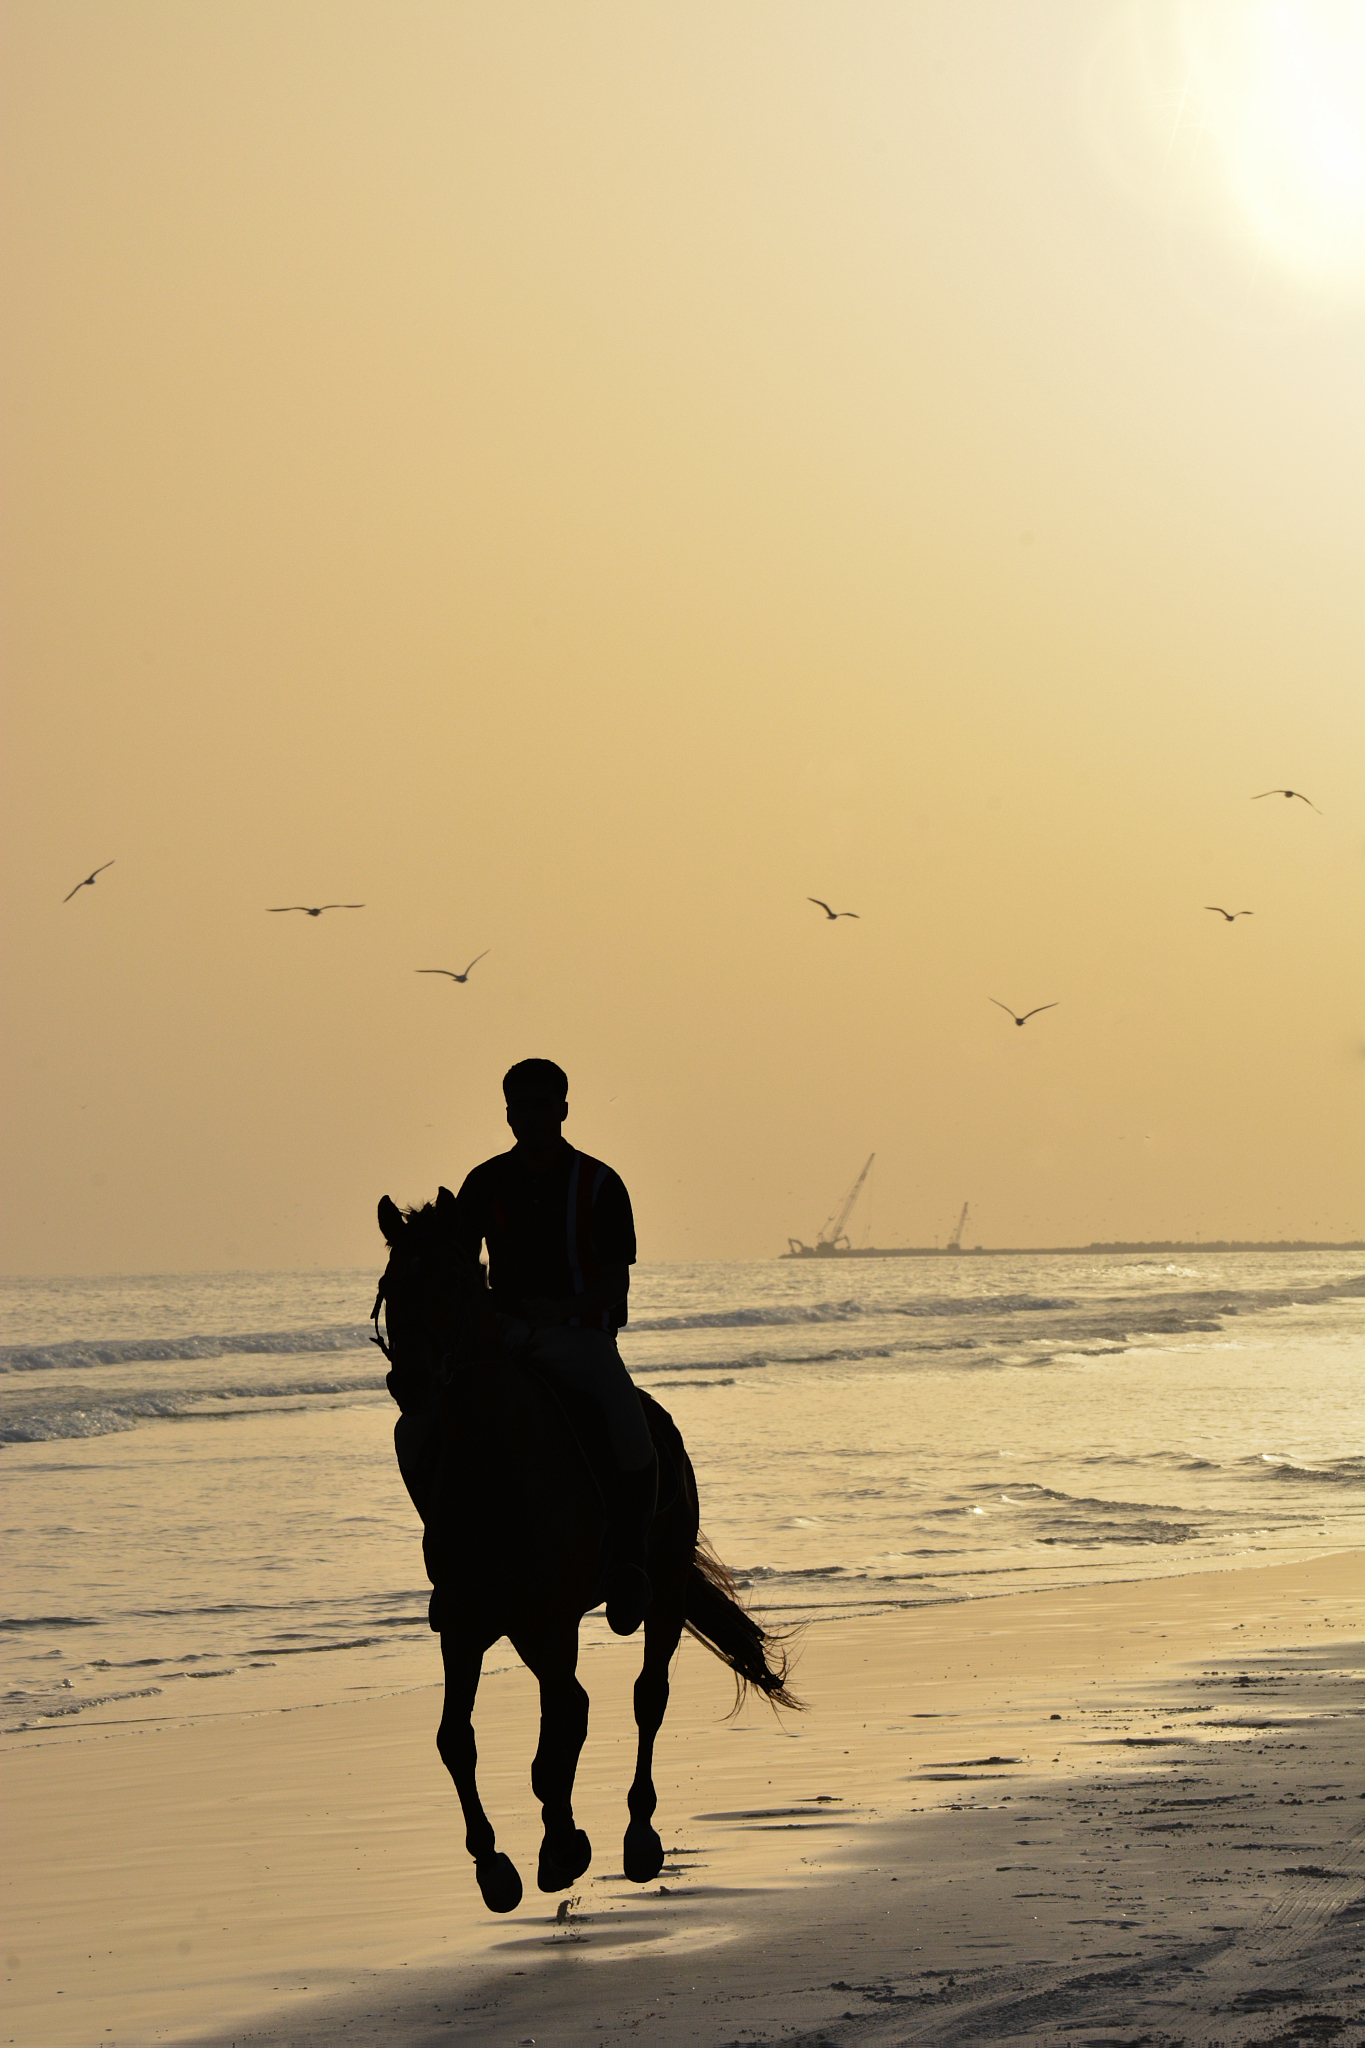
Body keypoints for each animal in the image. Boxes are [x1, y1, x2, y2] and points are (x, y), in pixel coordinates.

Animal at [372, 1189, 799, 1913]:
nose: (414, 1383)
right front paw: (495, 1867)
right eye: (388, 1287)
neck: (496, 1464)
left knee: (643, 1697)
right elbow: (457, 1739)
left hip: (660, 1589)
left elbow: (565, 1724)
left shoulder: (548, 1618)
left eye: (454, 1282)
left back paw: (636, 1838)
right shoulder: (467, 1621)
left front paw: (562, 1846)